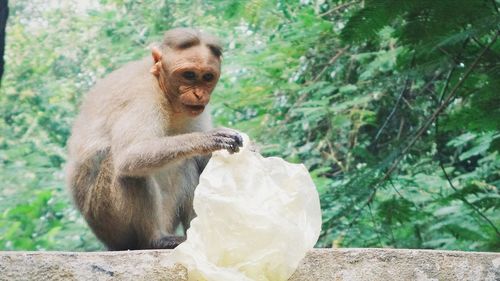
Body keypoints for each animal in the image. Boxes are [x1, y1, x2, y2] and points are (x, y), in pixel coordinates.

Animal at [66, 26, 242, 249]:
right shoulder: (142, 96)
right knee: (128, 169)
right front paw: (209, 139)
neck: (163, 89)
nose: (198, 94)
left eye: (207, 77)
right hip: (109, 218)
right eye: (189, 75)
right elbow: (130, 155)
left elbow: (202, 160)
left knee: (187, 163)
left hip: (167, 215)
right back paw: (157, 239)